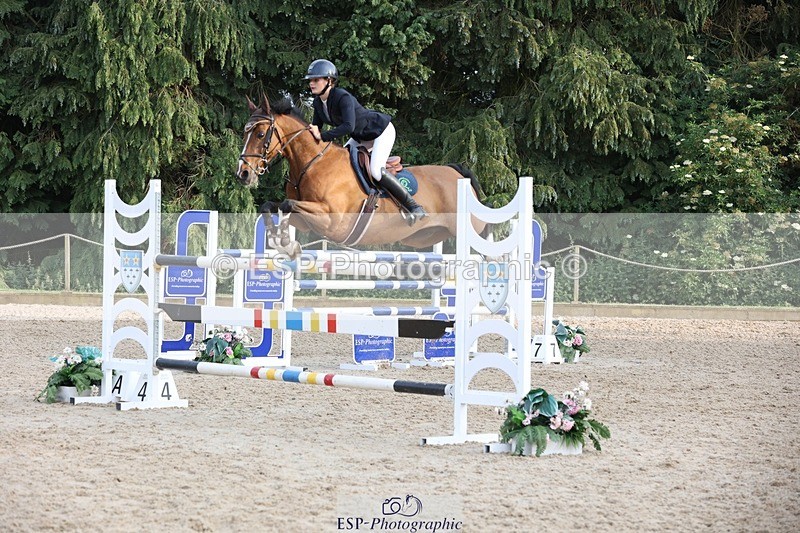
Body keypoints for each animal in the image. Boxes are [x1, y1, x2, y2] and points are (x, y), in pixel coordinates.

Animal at [236, 96, 488, 249]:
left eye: (260, 134)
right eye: (244, 133)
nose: (243, 174)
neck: (311, 164)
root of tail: (458, 173)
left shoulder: (332, 221)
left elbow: (288, 204)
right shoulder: (307, 221)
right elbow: (270, 205)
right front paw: (275, 236)